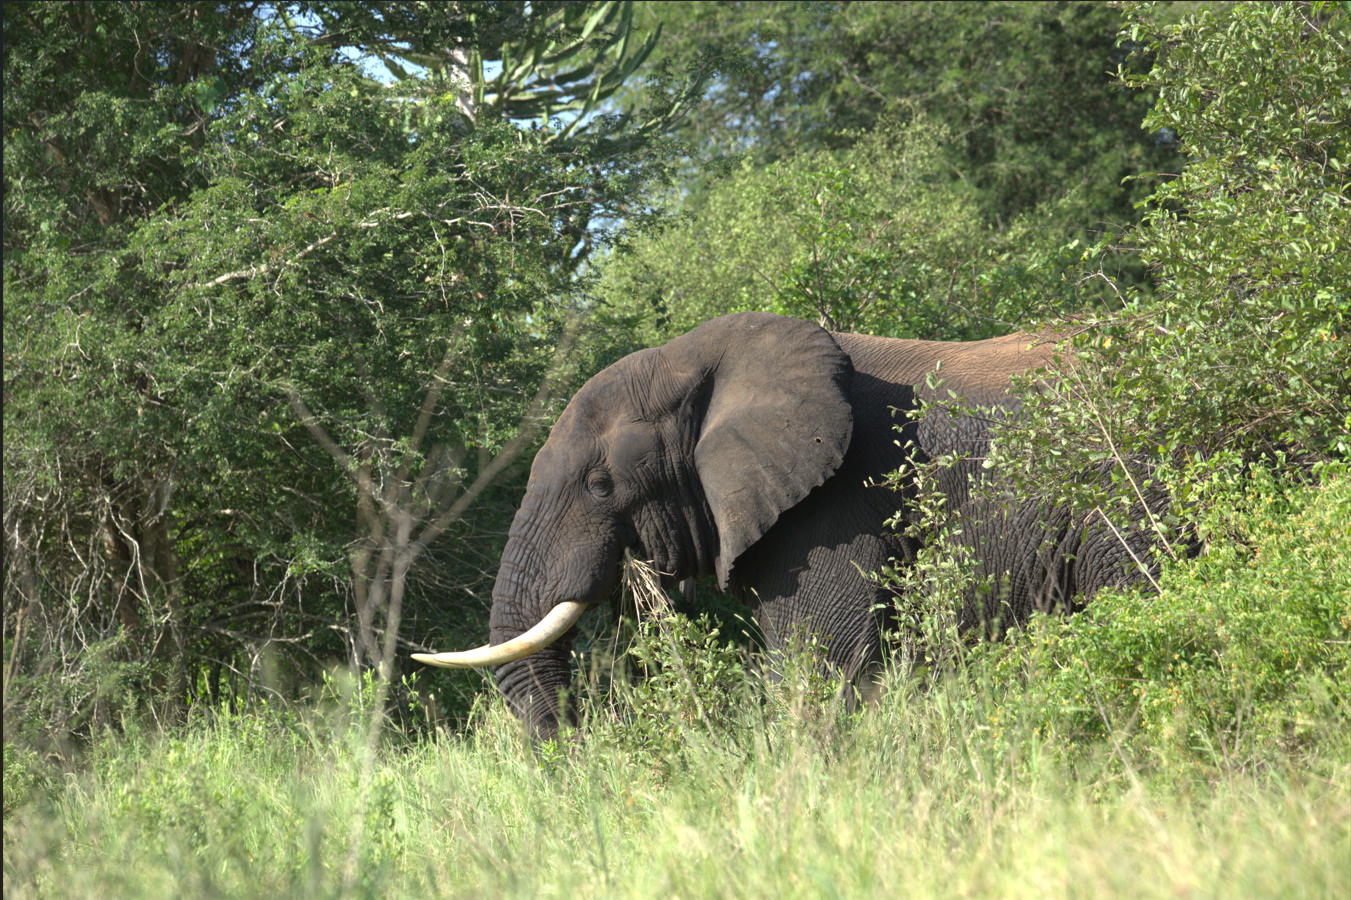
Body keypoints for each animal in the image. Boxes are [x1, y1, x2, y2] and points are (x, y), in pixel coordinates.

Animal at [414, 312, 1162, 737]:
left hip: (1125, 495)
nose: (576, 742)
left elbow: (821, 659)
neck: (695, 360)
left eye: (601, 485)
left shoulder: (833, 503)